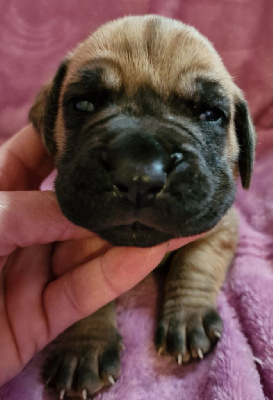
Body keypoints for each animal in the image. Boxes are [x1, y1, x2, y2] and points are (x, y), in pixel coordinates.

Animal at [29, 14, 255, 398]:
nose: (138, 174)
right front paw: (83, 349)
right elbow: (84, 301)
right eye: (82, 105)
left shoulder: (222, 222)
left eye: (211, 113)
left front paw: (187, 317)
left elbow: (199, 259)